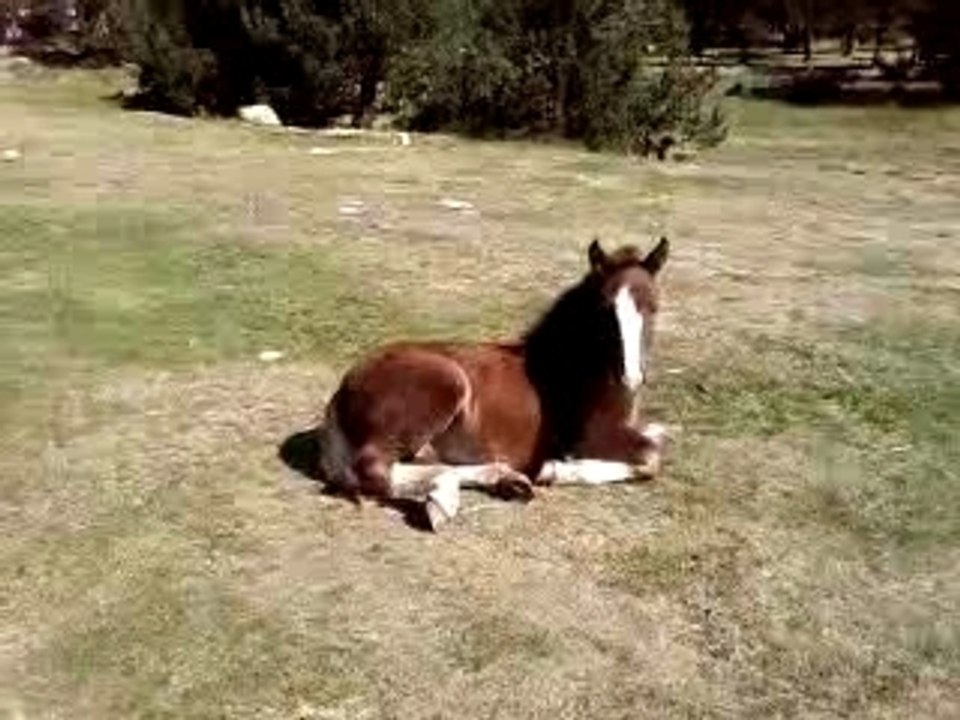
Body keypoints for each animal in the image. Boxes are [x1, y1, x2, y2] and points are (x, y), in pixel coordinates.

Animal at [317, 237, 670, 530]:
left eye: (653, 309)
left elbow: (655, 436)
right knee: (376, 469)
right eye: (604, 311)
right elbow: (651, 457)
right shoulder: (589, 437)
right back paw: (446, 501)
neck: (567, 368)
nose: (631, 377)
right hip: (446, 383)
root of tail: (342, 390)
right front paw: (555, 470)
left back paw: (506, 481)